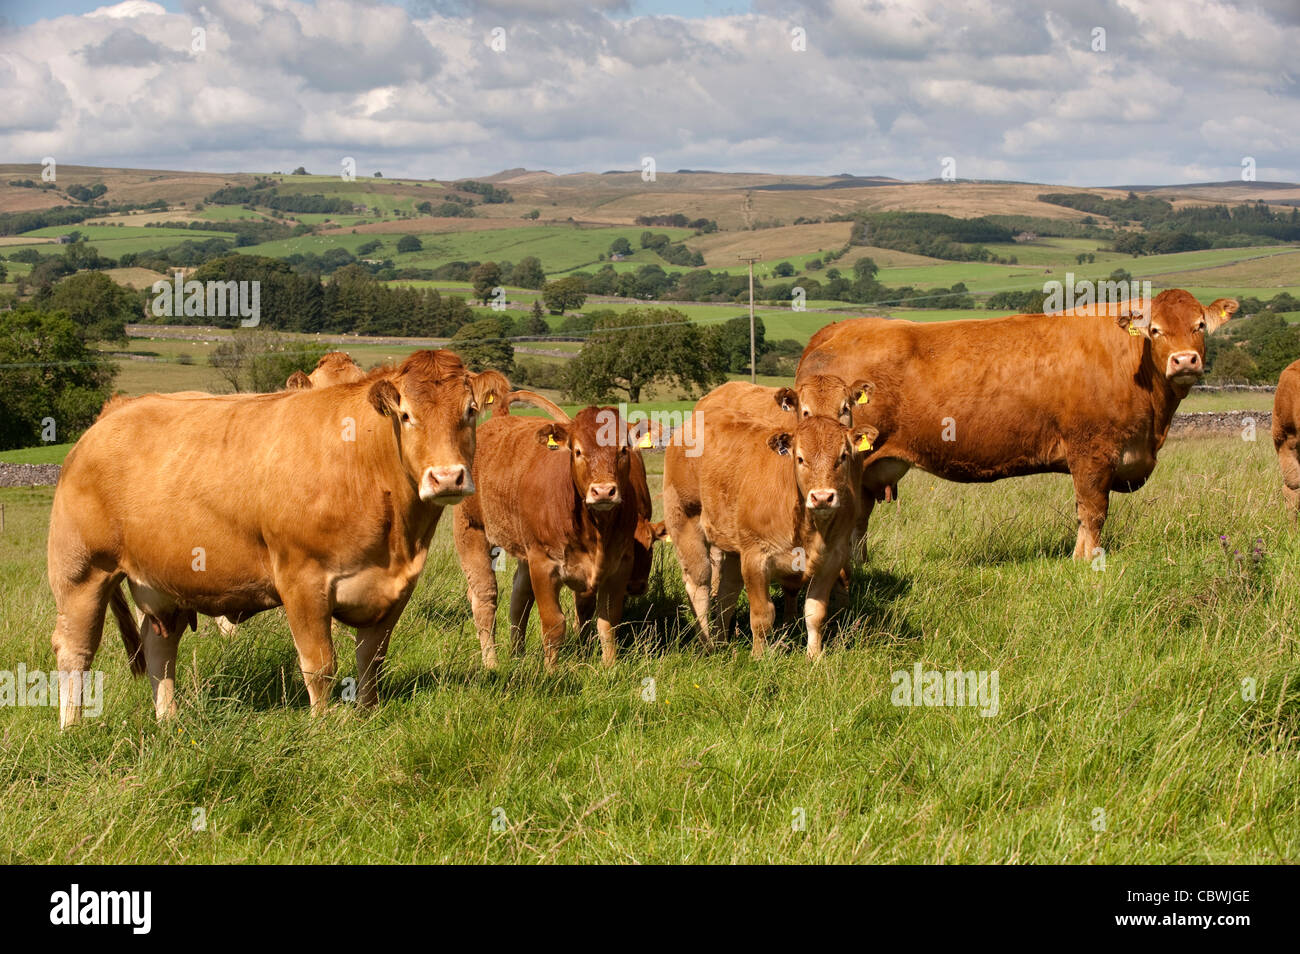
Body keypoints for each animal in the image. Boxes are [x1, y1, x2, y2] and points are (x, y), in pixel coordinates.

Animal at [49, 348, 506, 722]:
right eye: (407, 415)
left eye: (470, 411)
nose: (446, 477)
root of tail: (112, 415)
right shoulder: (302, 580)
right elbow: (320, 665)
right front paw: (323, 727)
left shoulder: (396, 587)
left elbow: (371, 660)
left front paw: (368, 715)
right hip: (81, 573)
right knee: (75, 651)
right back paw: (73, 728)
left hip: (163, 582)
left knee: (159, 649)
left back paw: (169, 722)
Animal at [457, 408, 655, 670]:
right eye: (577, 451)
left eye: (623, 449)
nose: (603, 491)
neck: (595, 529)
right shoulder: (543, 564)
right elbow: (554, 625)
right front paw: (551, 671)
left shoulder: (620, 566)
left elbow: (608, 622)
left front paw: (609, 667)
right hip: (472, 530)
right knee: (484, 599)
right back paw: (491, 663)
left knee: (520, 597)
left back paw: (517, 653)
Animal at [665, 402, 878, 657]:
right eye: (800, 458)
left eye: (843, 456)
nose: (822, 497)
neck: (809, 528)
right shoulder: (756, 557)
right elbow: (763, 615)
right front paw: (759, 657)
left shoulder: (833, 558)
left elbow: (815, 613)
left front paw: (815, 656)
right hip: (685, 522)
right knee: (699, 586)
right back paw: (707, 645)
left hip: (735, 546)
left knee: (728, 592)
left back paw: (721, 640)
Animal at [795, 289, 1232, 561]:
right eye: (1155, 330)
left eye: (1200, 326)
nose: (1184, 360)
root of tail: (836, 328)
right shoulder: (1091, 452)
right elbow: (1093, 512)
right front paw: (1085, 562)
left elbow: (1085, 512)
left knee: (859, 523)